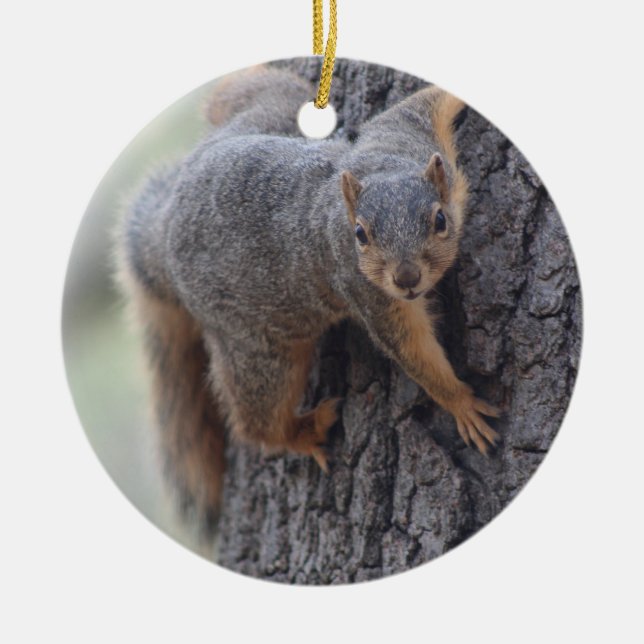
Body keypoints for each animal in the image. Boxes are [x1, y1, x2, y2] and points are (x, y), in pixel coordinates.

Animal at [116, 64, 500, 533]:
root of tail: (166, 229)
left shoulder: (406, 134)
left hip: (271, 110)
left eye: (440, 220)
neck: (383, 168)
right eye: (360, 235)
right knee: (258, 420)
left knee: (240, 94)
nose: (407, 279)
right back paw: (304, 430)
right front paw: (461, 403)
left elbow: (423, 102)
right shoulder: (368, 292)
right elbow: (412, 350)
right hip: (259, 350)